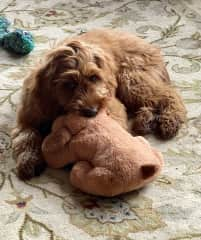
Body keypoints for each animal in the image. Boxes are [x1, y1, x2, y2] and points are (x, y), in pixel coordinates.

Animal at [12, 29, 185, 180]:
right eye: (69, 84)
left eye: (94, 77)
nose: (92, 111)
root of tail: (151, 46)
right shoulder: (28, 117)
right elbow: (28, 136)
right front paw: (28, 160)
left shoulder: (113, 104)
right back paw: (145, 121)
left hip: (131, 80)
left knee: (169, 95)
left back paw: (170, 121)